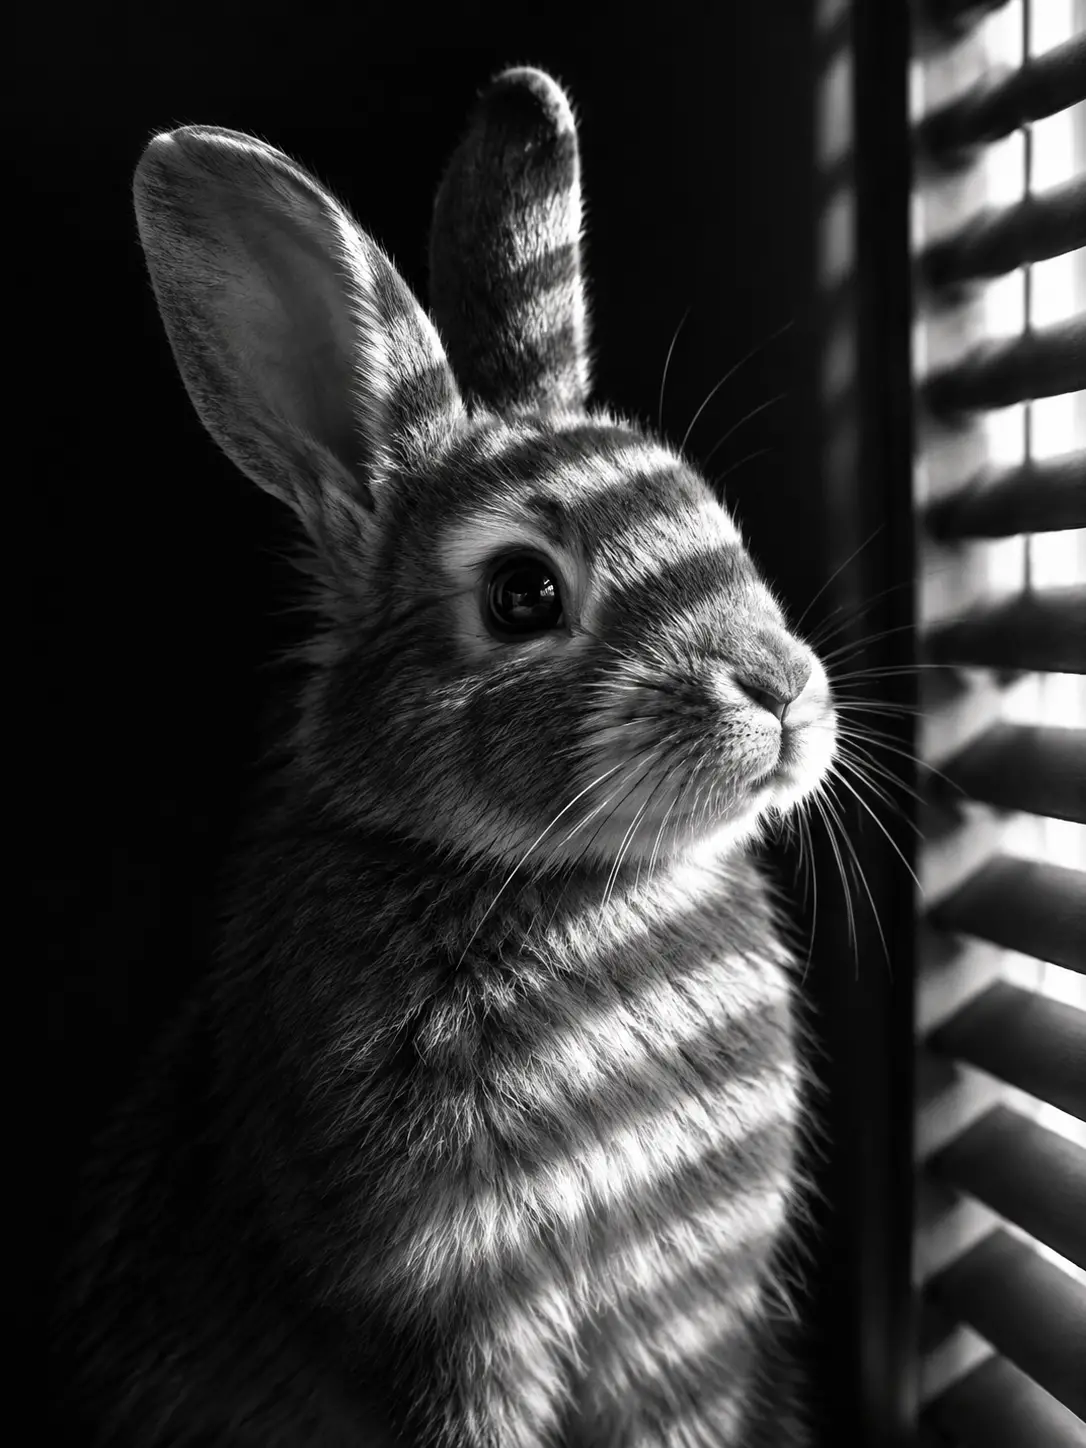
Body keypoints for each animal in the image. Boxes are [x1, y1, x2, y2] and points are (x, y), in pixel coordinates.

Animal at [57, 66, 838, 1448]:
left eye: (706, 511)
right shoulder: (450, 1326)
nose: (783, 690)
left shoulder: (686, 1321)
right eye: (523, 594)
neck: (571, 884)